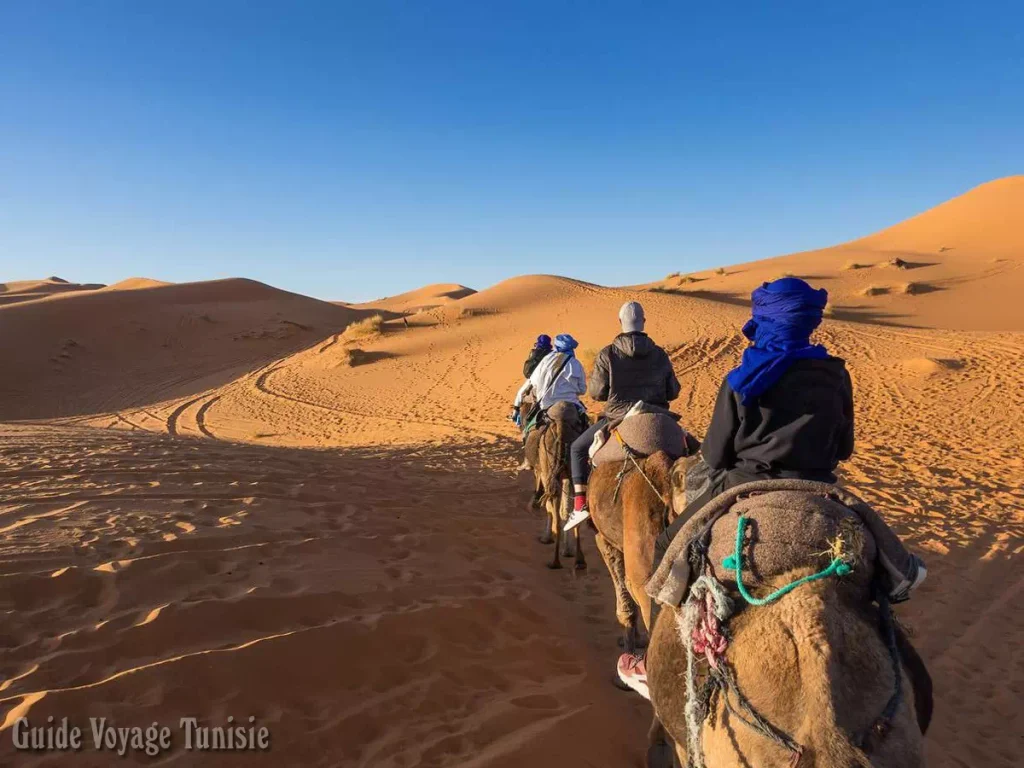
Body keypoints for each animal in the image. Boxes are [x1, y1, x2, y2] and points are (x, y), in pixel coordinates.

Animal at [524, 403, 589, 573]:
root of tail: (560, 422)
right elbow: (566, 509)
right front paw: (567, 550)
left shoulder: (541, 472)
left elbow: (548, 506)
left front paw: (546, 538)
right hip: (572, 465)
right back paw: (579, 560)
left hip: (548, 465)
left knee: (553, 504)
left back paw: (555, 562)